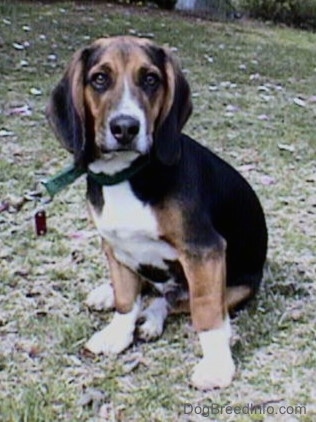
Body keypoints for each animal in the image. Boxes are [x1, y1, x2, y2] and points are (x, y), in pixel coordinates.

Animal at [47, 35, 268, 390]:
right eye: (99, 78)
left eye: (151, 79)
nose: (125, 127)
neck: (126, 175)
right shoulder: (114, 246)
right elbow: (126, 298)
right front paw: (117, 334)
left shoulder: (204, 251)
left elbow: (206, 310)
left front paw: (217, 364)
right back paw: (110, 295)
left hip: (239, 286)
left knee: (176, 299)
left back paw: (151, 318)